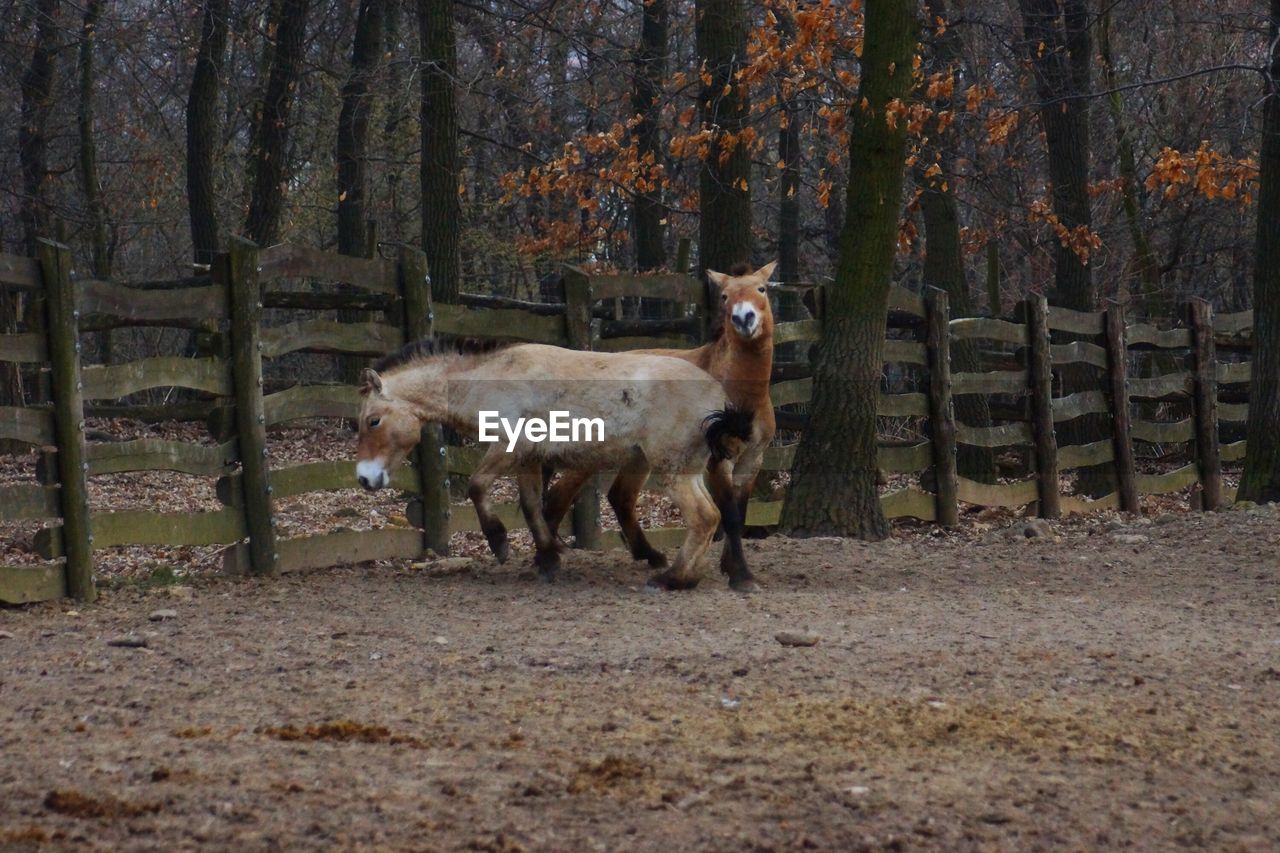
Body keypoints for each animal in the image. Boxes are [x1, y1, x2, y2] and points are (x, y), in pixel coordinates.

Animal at [353, 338, 757, 591]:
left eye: (373, 420)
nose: (364, 478)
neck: (496, 379)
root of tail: (717, 398)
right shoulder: (529, 459)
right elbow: (533, 506)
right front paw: (548, 557)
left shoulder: (509, 447)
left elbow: (478, 486)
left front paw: (499, 542)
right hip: (689, 469)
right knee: (713, 516)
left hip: (672, 470)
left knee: (705, 517)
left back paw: (673, 579)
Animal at [540, 258, 778, 571]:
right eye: (725, 296)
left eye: (762, 289)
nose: (743, 319)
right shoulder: (719, 460)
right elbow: (729, 514)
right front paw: (735, 569)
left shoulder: (752, 460)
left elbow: (739, 513)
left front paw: (733, 566)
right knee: (559, 497)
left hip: (636, 455)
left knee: (620, 497)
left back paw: (649, 555)